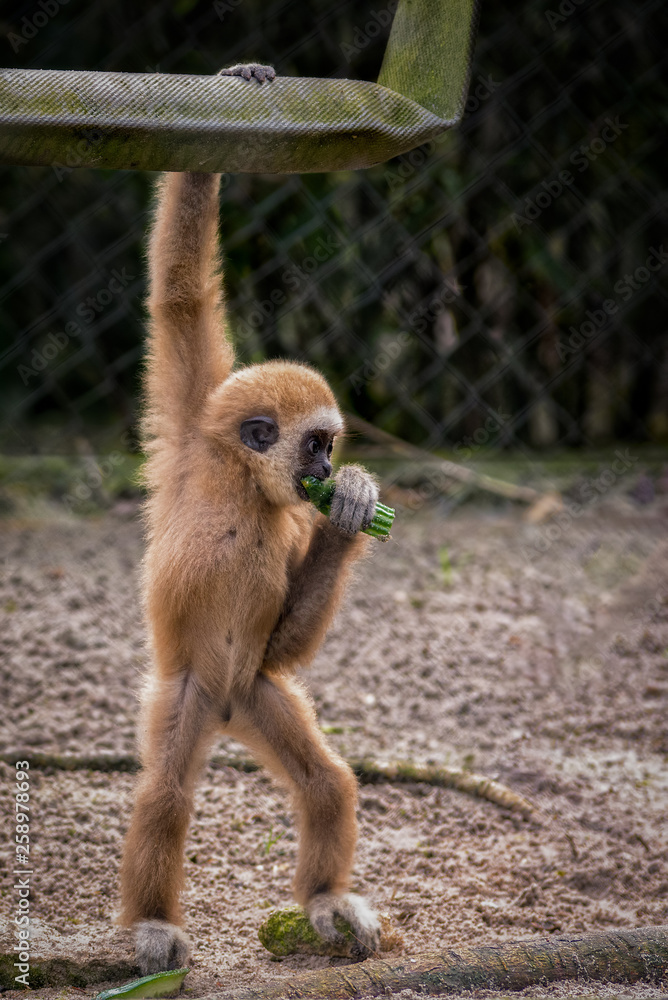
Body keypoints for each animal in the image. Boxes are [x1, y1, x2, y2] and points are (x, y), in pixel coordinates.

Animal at [119, 64, 381, 976]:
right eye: (315, 445)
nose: (327, 473)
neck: (240, 486)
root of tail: (227, 707)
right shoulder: (190, 436)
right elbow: (179, 294)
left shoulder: (283, 528)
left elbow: (286, 644)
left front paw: (351, 514)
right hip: (190, 691)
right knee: (166, 793)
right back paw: (152, 924)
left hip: (256, 696)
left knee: (325, 781)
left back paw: (326, 900)